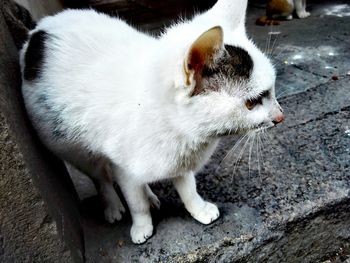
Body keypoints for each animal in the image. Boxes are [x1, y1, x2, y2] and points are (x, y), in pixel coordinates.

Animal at [19, 0, 284, 244]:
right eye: (253, 102)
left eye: (272, 89)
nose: (280, 116)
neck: (182, 132)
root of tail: (40, 28)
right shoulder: (122, 164)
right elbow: (135, 202)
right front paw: (141, 226)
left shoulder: (180, 159)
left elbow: (187, 188)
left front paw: (198, 209)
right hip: (71, 147)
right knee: (100, 176)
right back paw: (113, 205)